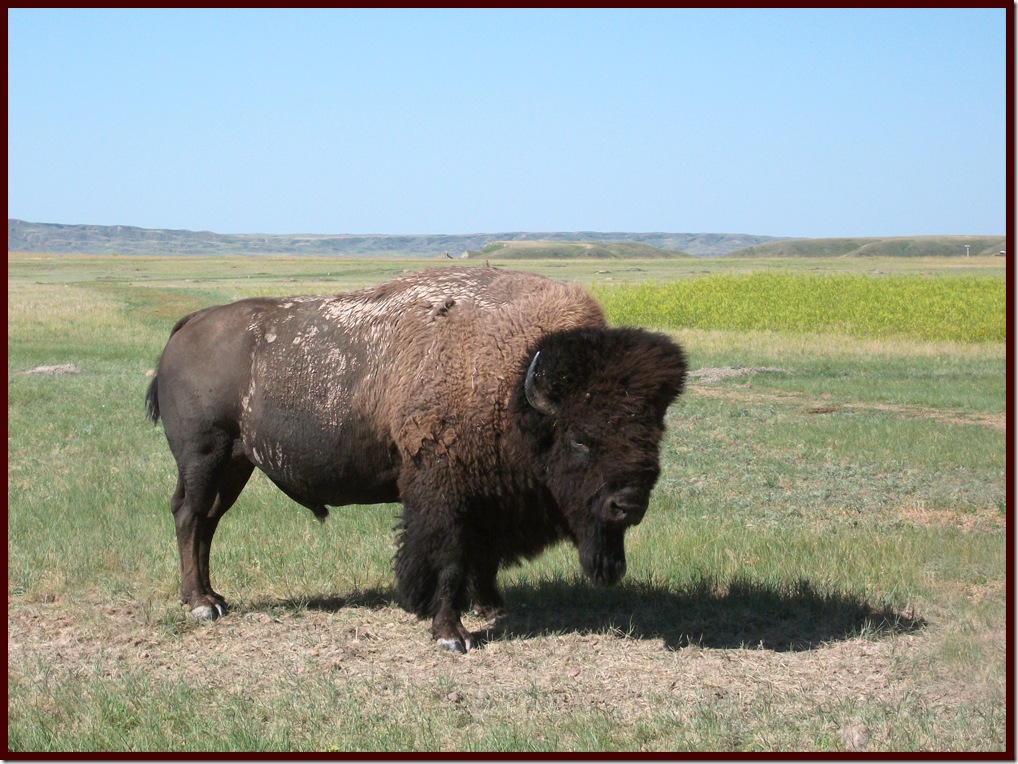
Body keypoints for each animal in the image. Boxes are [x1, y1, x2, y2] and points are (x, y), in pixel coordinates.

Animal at [147, 266, 688, 651]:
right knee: (189, 515)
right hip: (205, 455)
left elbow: (483, 558)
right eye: (579, 438)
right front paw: (451, 635)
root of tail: (189, 325)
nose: (628, 505)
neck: (514, 379)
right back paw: (200, 605)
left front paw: (491, 608)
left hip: (236, 464)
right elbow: (447, 559)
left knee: (208, 521)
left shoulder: (485, 496)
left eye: (653, 431)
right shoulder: (444, 493)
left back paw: (214, 598)